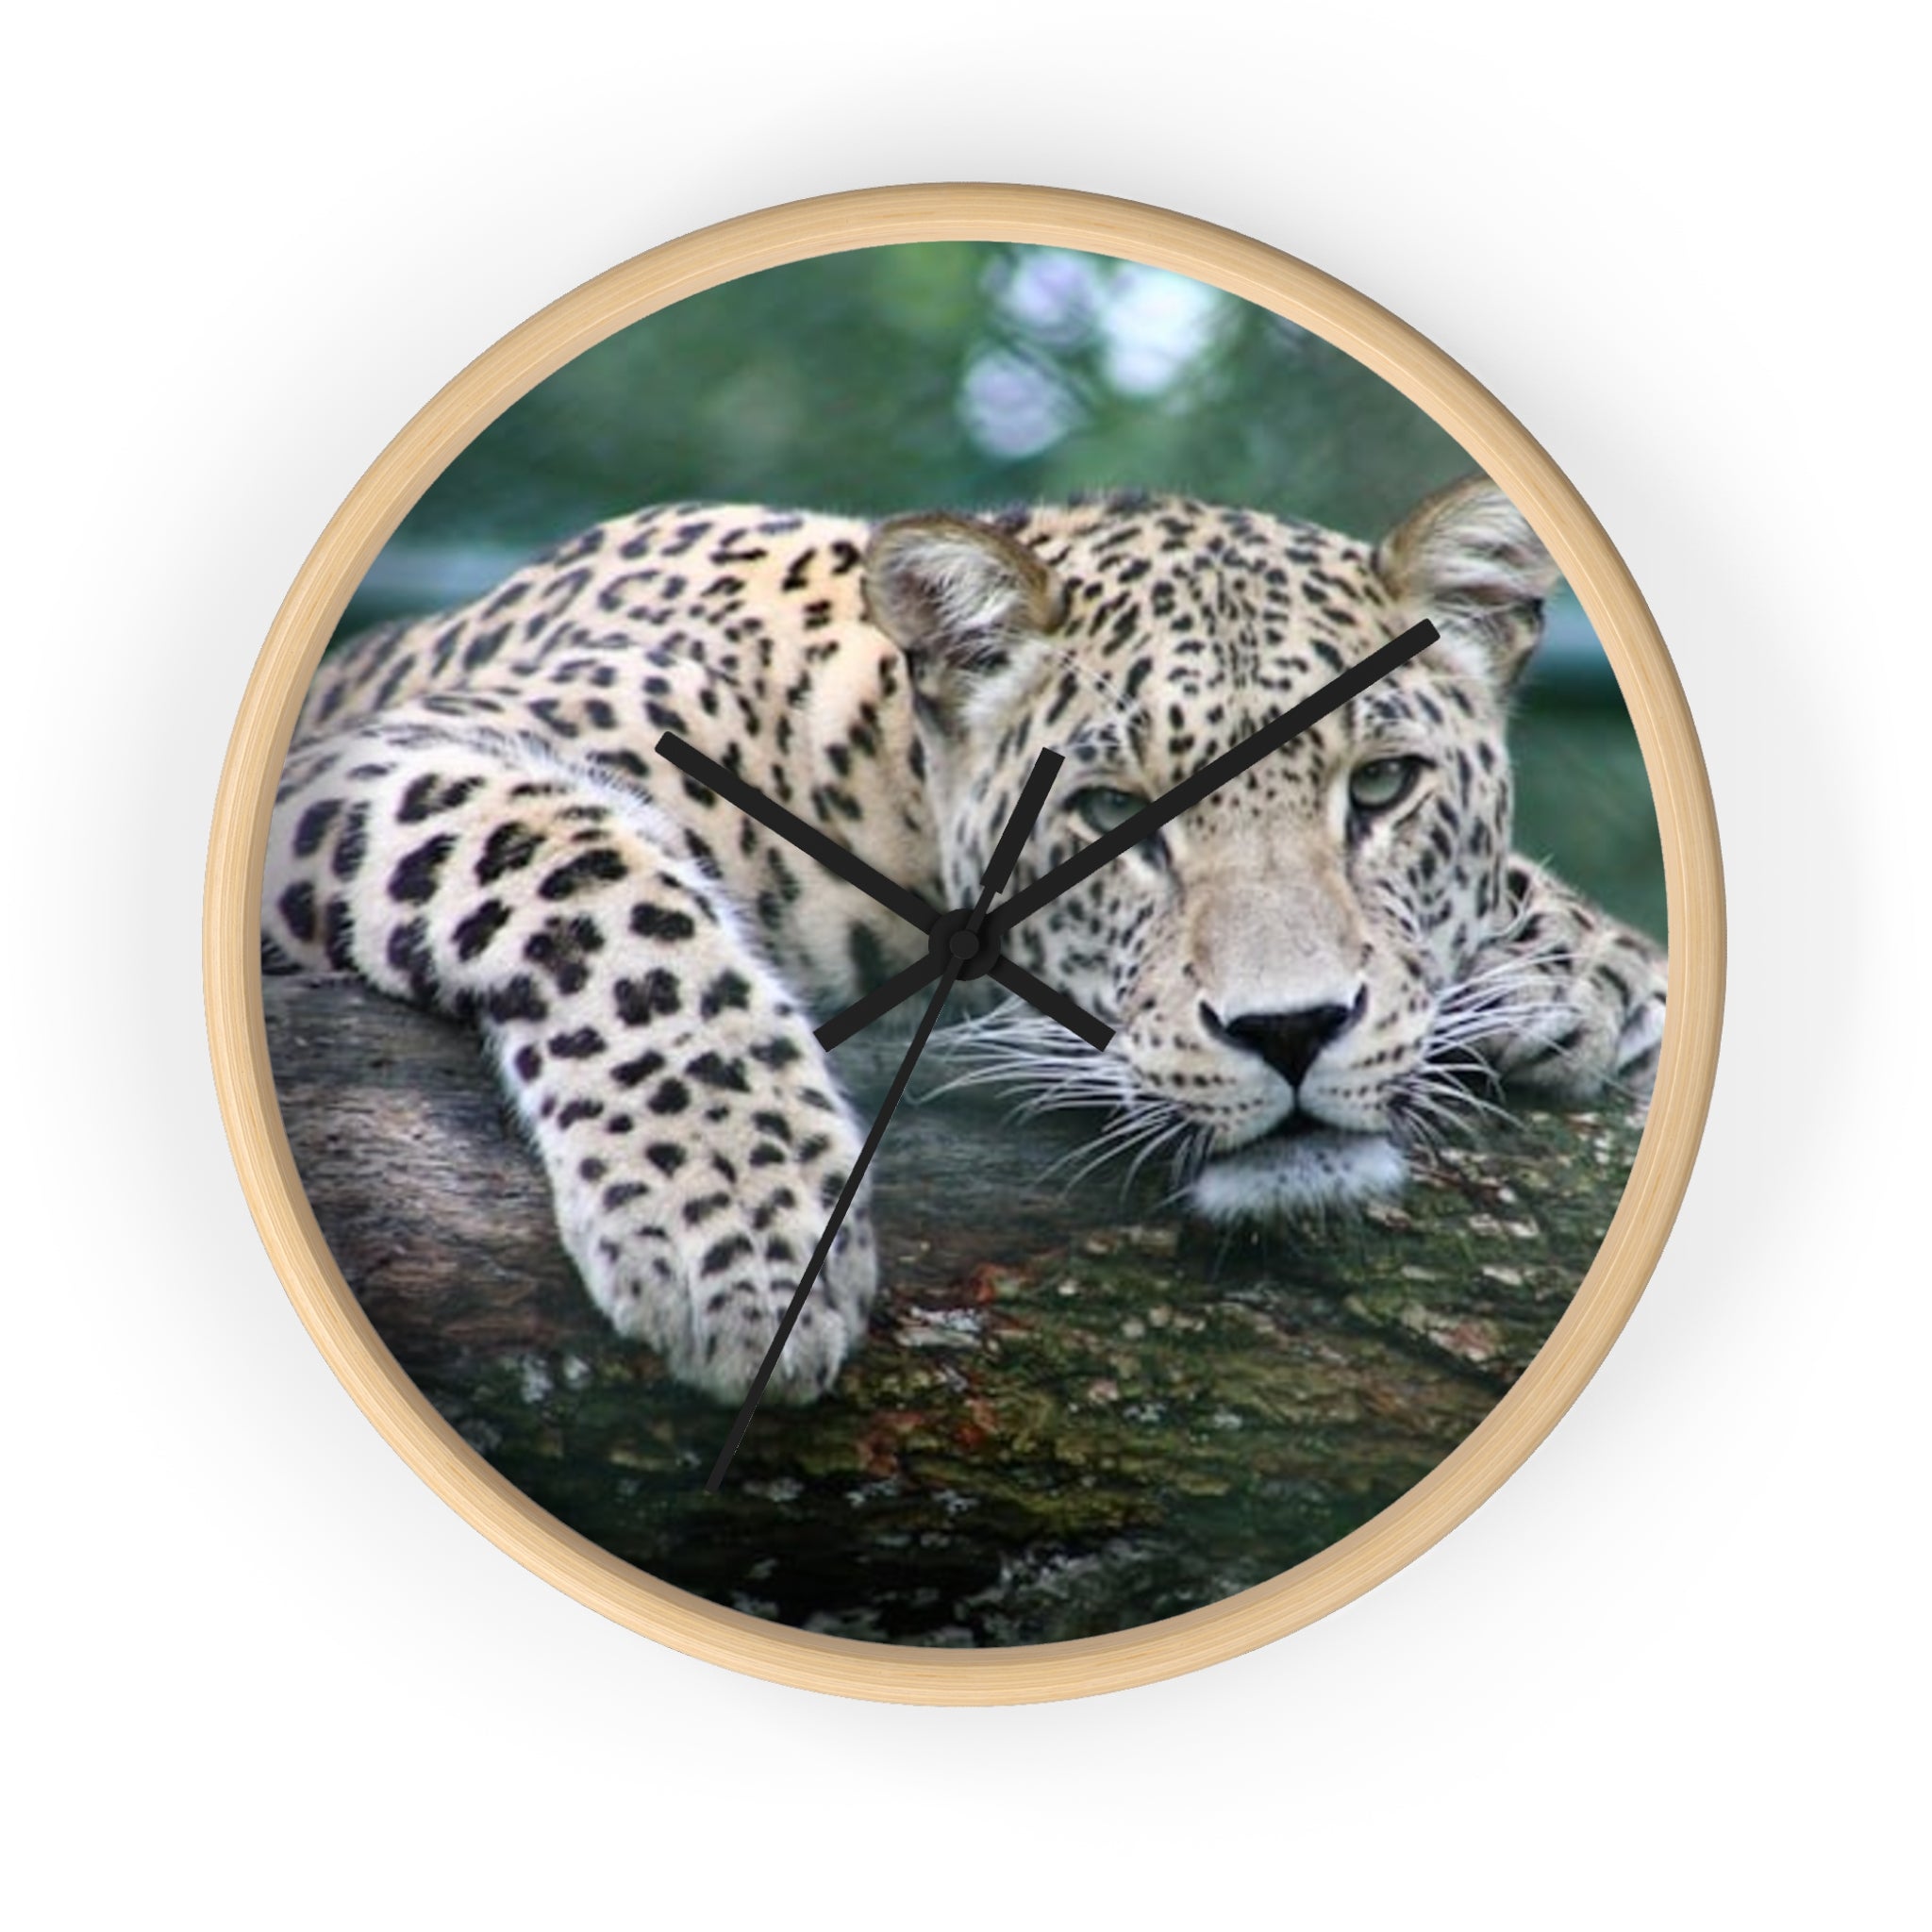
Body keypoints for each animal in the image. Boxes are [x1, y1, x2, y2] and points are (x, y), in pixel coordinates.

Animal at [263, 477, 1667, 1406]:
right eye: (1107, 815)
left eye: (1380, 786)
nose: (1290, 1031)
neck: (877, 778)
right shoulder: (371, 766)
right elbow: (602, 882)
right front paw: (740, 1227)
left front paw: (1581, 967)